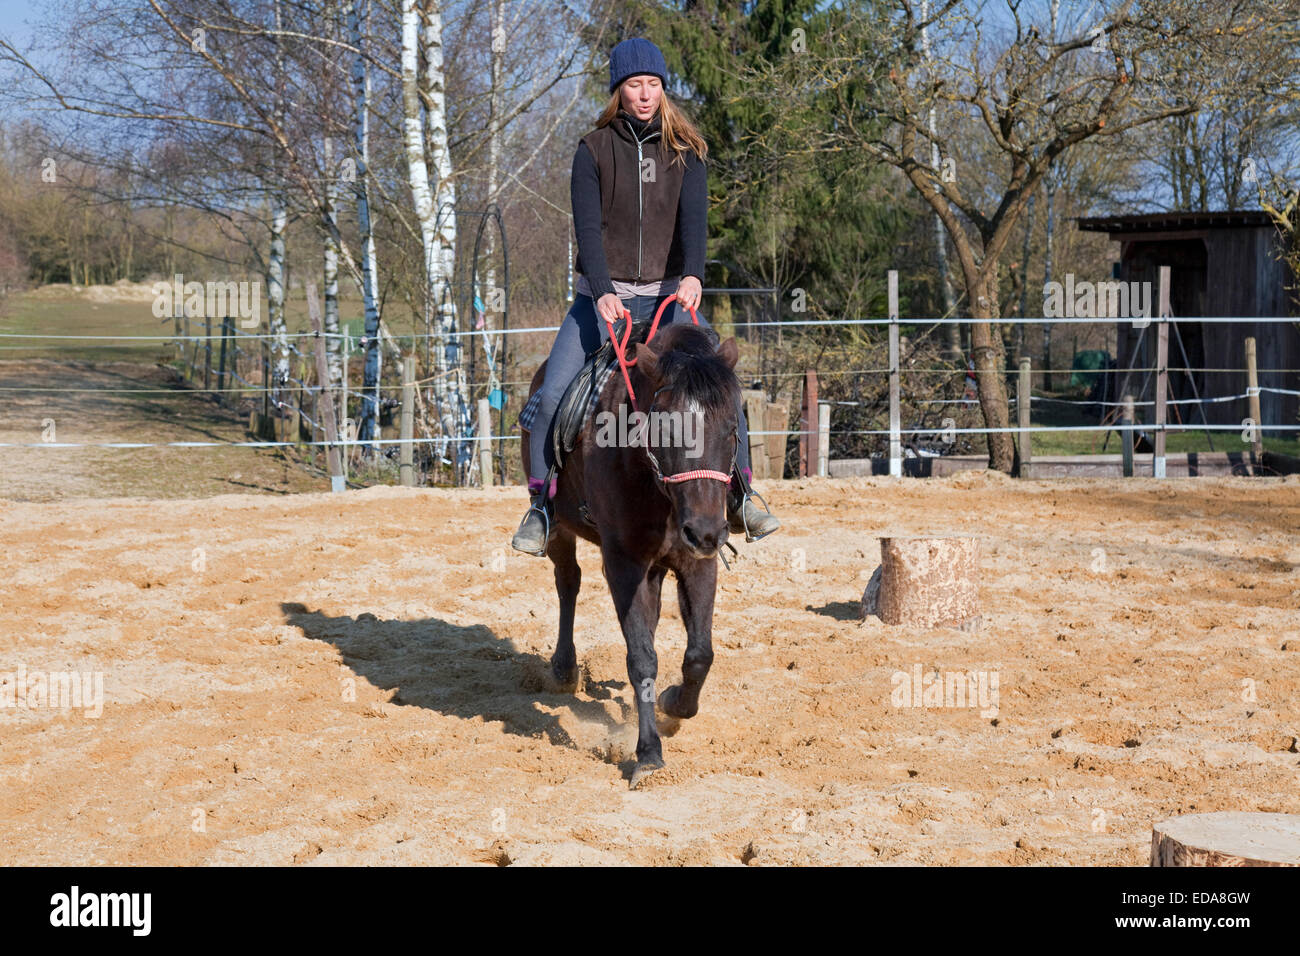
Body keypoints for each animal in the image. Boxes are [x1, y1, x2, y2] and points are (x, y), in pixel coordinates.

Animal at [517, 325, 743, 790]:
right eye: (668, 431)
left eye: (733, 429)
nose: (706, 531)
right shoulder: (623, 564)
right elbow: (641, 658)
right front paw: (649, 754)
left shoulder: (697, 562)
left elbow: (699, 655)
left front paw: (673, 705)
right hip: (560, 528)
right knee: (568, 581)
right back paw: (564, 669)